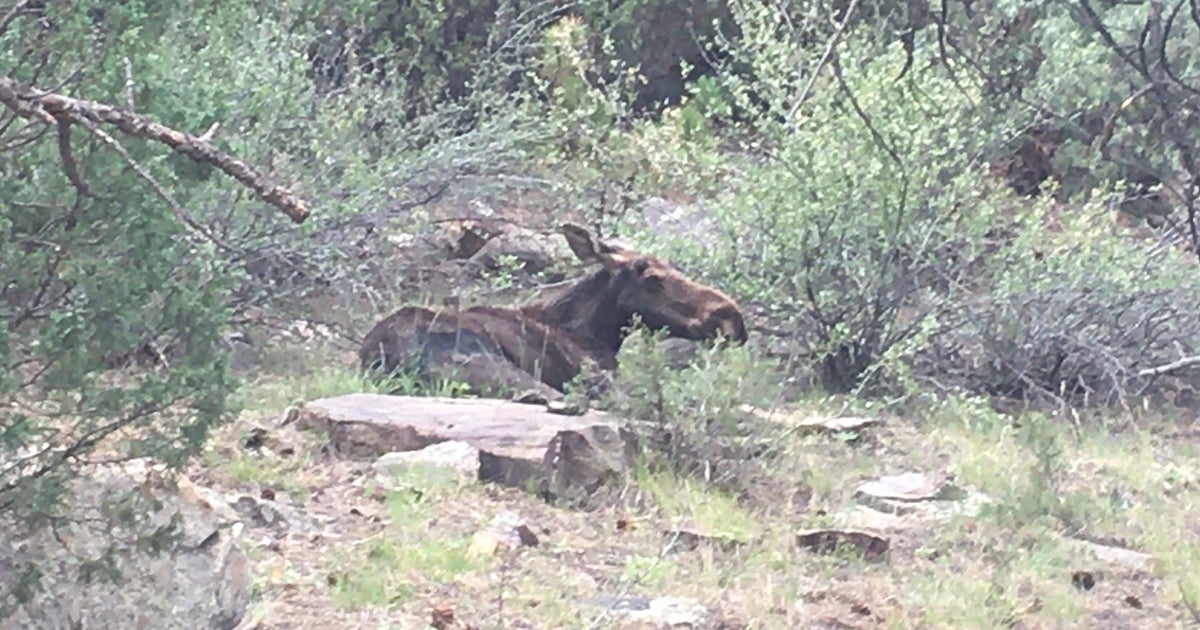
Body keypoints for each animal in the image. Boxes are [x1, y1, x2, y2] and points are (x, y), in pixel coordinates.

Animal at [358, 223, 748, 402]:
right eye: (652, 279)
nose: (732, 318)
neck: (595, 332)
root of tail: (386, 354)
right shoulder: (600, 378)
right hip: (496, 367)